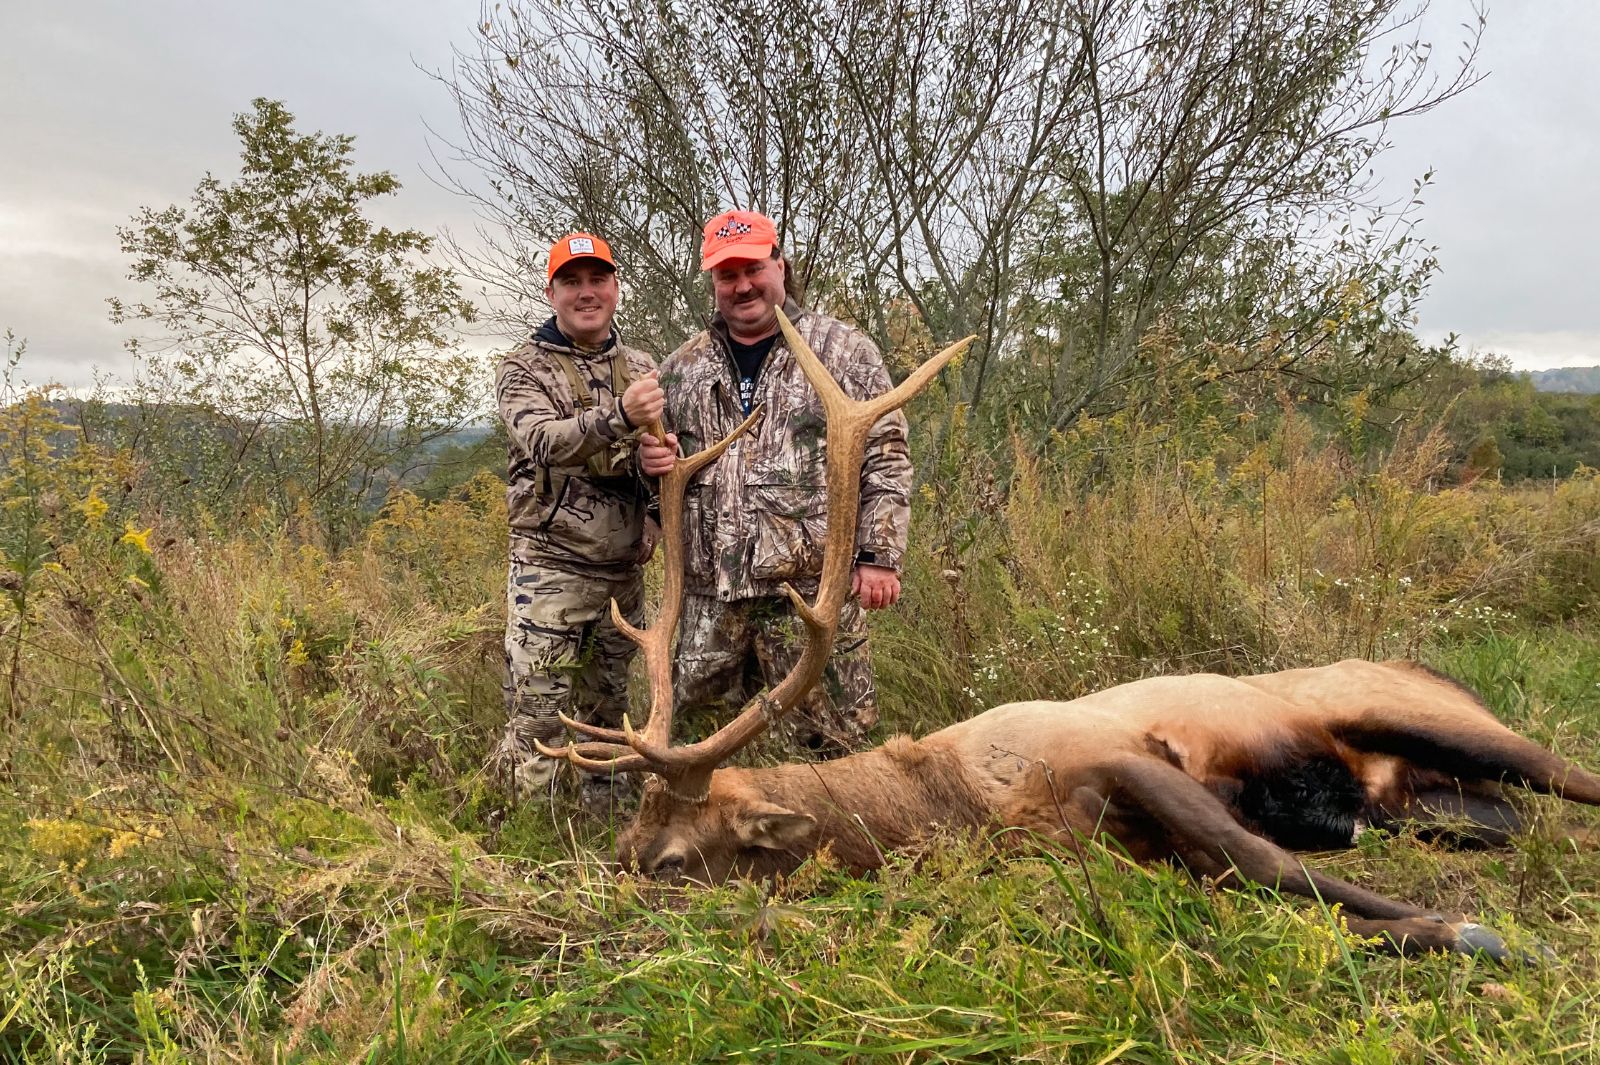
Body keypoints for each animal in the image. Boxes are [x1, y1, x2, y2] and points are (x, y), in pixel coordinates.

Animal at [540, 305, 1600, 953]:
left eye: (672, 862)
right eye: (624, 849)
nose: (594, 914)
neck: (960, 802)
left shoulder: (1118, 752)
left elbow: (1267, 862)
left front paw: (1471, 933)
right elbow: (1242, 872)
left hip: (1415, 714)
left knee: (1565, 770)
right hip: (1427, 800)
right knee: (1507, 816)